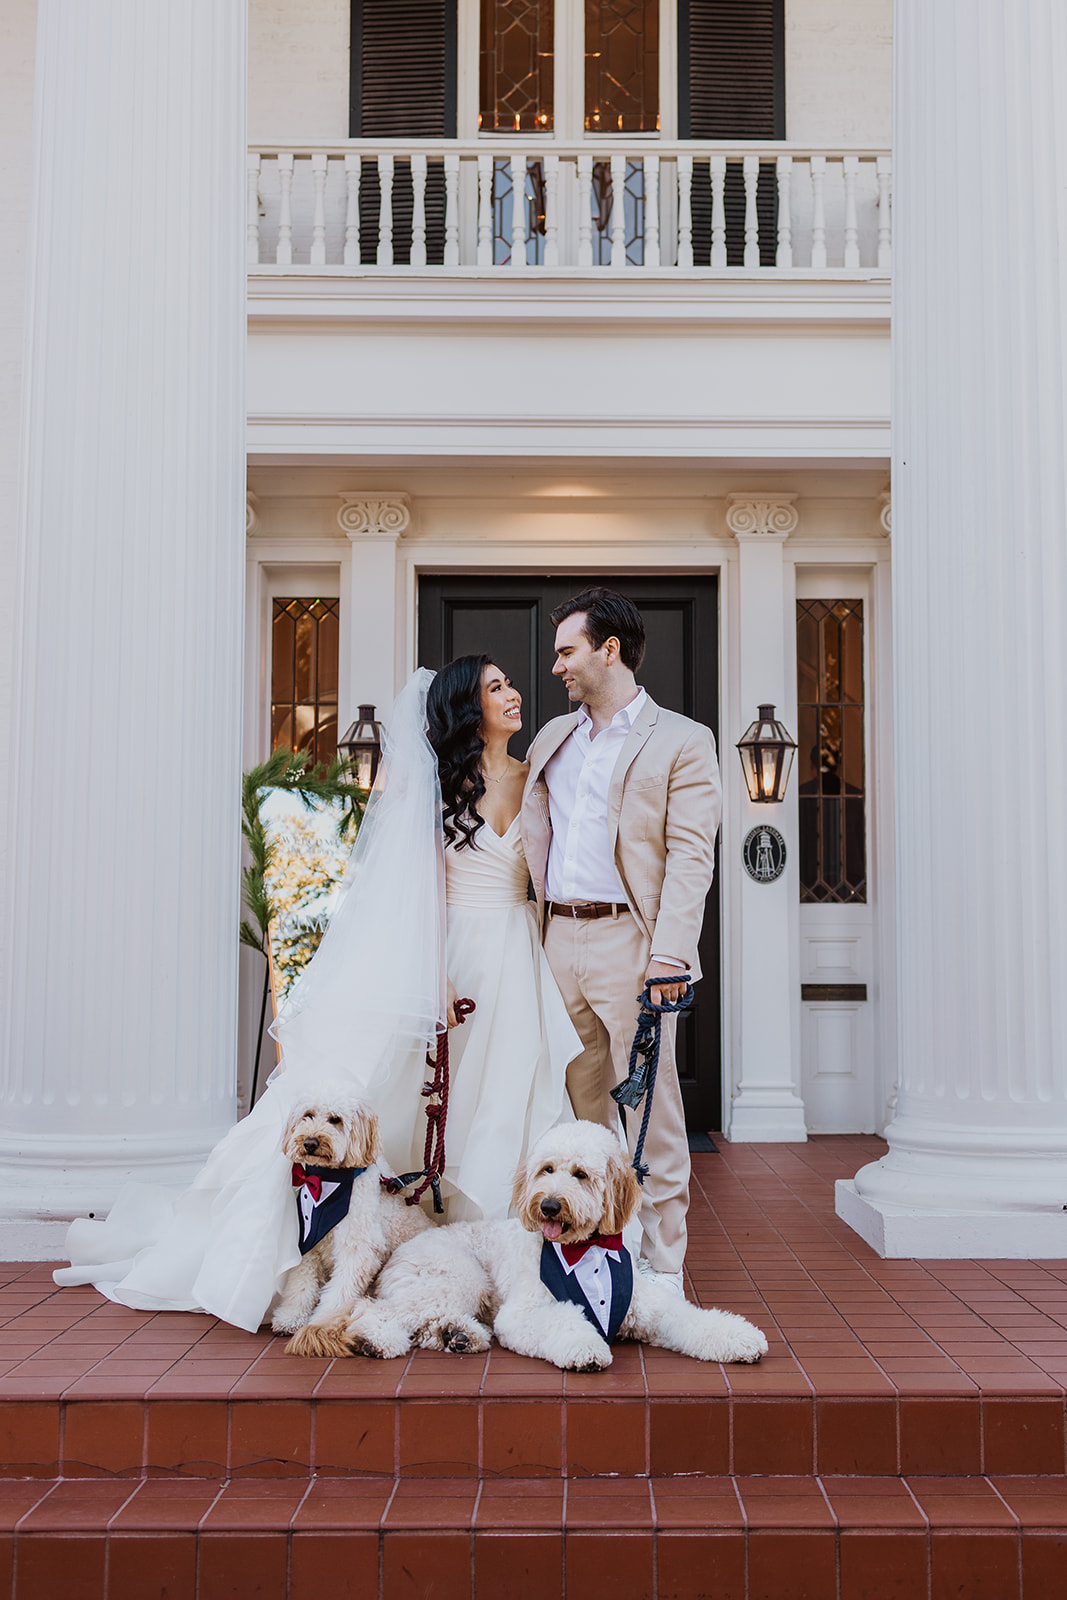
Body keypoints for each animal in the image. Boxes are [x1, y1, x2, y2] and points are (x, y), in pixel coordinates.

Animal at [271, 1088, 428, 1350]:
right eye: (308, 1115)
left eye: (336, 1119)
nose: (310, 1142)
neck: (327, 1181)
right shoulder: (308, 1245)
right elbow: (300, 1285)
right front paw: (291, 1318)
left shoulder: (358, 1250)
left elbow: (340, 1291)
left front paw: (321, 1322)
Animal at [342, 1120, 767, 1369]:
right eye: (546, 1169)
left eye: (580, 1174)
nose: (547, 1205)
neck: (585, 1249)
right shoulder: (524, 1312)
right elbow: (564, 1321)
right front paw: (586, 1350)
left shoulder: (649, 1308)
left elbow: (690, 1319)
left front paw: (740, 1337)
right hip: (458, 1277)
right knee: (372, 1310)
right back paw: (376, 1340)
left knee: (426, 1322)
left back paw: (458, 1336)